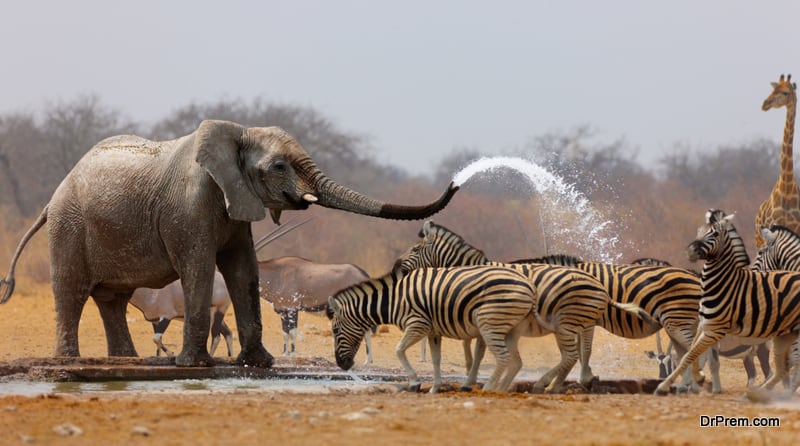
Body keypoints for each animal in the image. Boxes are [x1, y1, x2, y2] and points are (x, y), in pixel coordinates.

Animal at [0, 118, 456, 366]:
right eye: (279, 166)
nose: (455, 181)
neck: (238, 133)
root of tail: (52, 198)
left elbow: (243, 270)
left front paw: (259, 364)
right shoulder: (188, 206)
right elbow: (200, 268)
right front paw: (192, 365)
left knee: (112, 299)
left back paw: (125, 361)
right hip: (69, 226)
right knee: (72, 291)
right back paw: (70, 361)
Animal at [324, 264, 536, 394]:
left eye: (335, 331)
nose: (342, 365)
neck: (394, 300)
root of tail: (528, 284)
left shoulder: (418, 324)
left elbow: (399, 350)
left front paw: (415, 383)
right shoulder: (433, 331)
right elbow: (435, 359)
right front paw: (434, 388)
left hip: (489, 323)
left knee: (503, 357)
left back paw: (489, 389)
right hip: (509, 328)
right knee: (514, 361)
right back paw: (500, 388)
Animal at [394, 221, 636, 392]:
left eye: (415, 249)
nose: (396, 267)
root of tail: (598, 285)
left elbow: (479, 352)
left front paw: (471, 382)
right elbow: (470, 349)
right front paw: (470, 377)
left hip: (569, 321)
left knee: (576, 352)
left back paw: (554, 383)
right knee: (578, 351)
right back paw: (570, 382)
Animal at [652, 211, 800, 396]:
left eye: (715, 234)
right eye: (698, 231)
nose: (691, 251)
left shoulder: (712, 332)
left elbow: (696, 357)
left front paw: (690, 385)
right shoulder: (705, 330)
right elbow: (694, 355)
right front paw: (700, 382)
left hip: (763, 346)